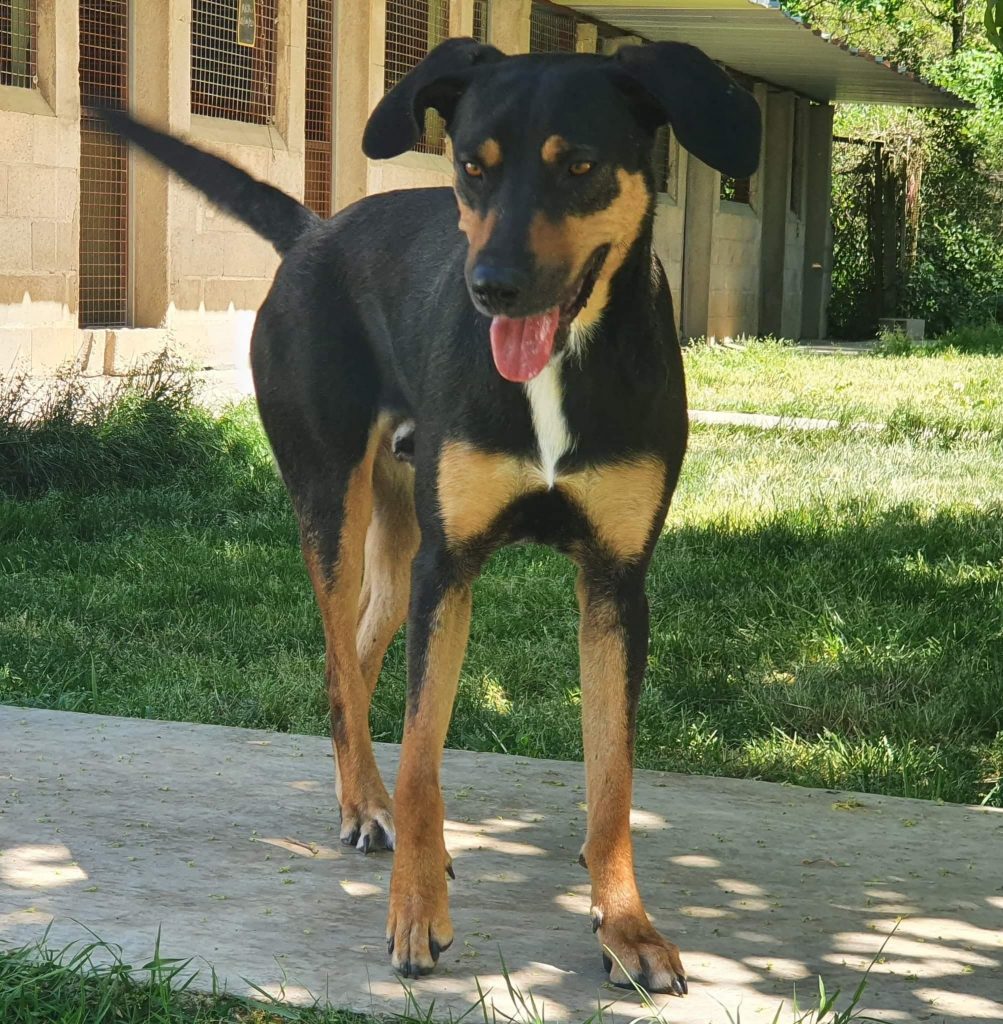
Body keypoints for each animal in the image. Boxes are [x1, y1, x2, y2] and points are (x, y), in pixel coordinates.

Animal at [101, 37, 762, 991]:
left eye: (581, 166)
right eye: (470, 168)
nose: (492, 288)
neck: (556, 368)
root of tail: (314, 233)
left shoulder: (615, 585)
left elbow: (613, 779)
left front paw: (626, 926)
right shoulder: (448, 569)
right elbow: (422, 755)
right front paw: (415, 912)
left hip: (397, 541)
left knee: (355, 655)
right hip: (332, 507)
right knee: (342, 668)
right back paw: (366, 807)